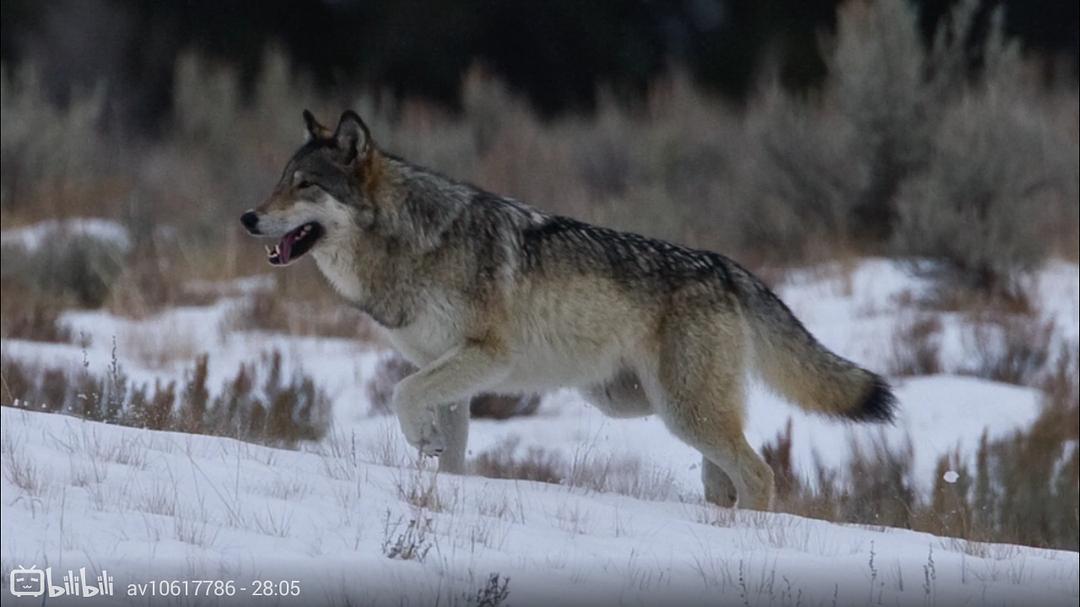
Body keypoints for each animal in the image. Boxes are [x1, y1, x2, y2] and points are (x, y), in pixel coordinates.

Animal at [240, 110, 897, 510]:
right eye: (278, 180)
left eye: (304, 185)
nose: (248, 217)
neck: (412, 242)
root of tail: (726, 266)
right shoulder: (450, 372)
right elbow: (448, 448)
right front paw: (440, 478)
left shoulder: (486, 358)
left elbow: (402, 394)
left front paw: (419, 438)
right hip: (647, 407)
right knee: (728, 473)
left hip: (679, 411)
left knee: (759, 474)